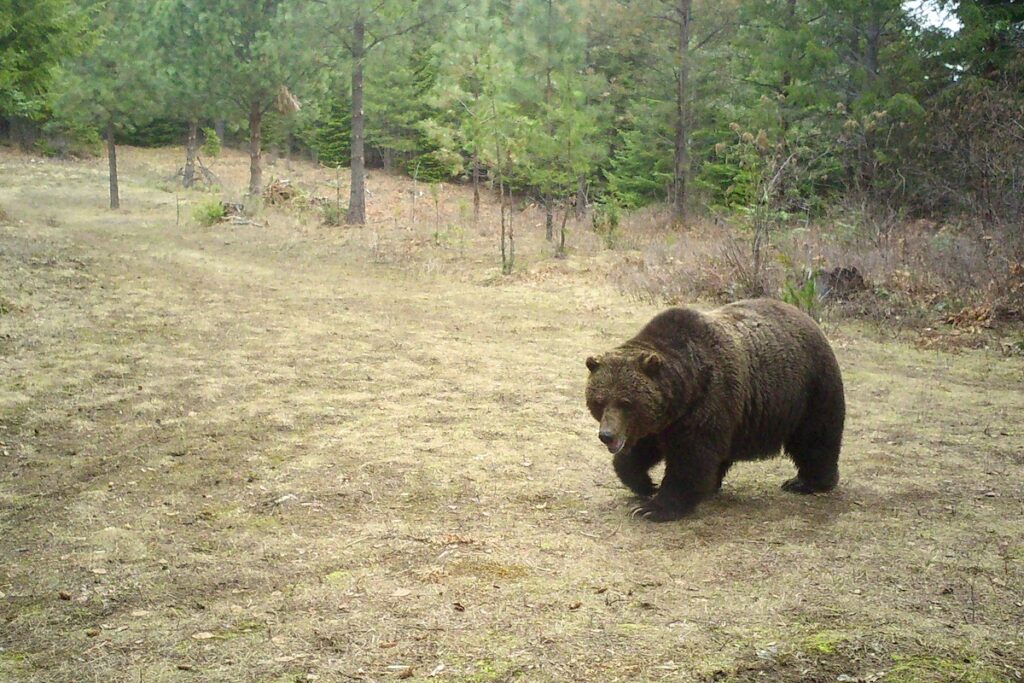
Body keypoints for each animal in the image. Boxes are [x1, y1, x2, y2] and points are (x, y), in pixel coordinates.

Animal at [589, 299, 843, 524]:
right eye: (599, 401)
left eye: (626, 402)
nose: (607, 435)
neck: (686, 388)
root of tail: (807, 318)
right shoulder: (661, 420)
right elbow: (640, 450)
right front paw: (645, 483)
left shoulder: (706, 403)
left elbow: (690, 459)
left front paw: (654, 508)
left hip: (810, 389)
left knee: (815, 437)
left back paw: (806, 482)